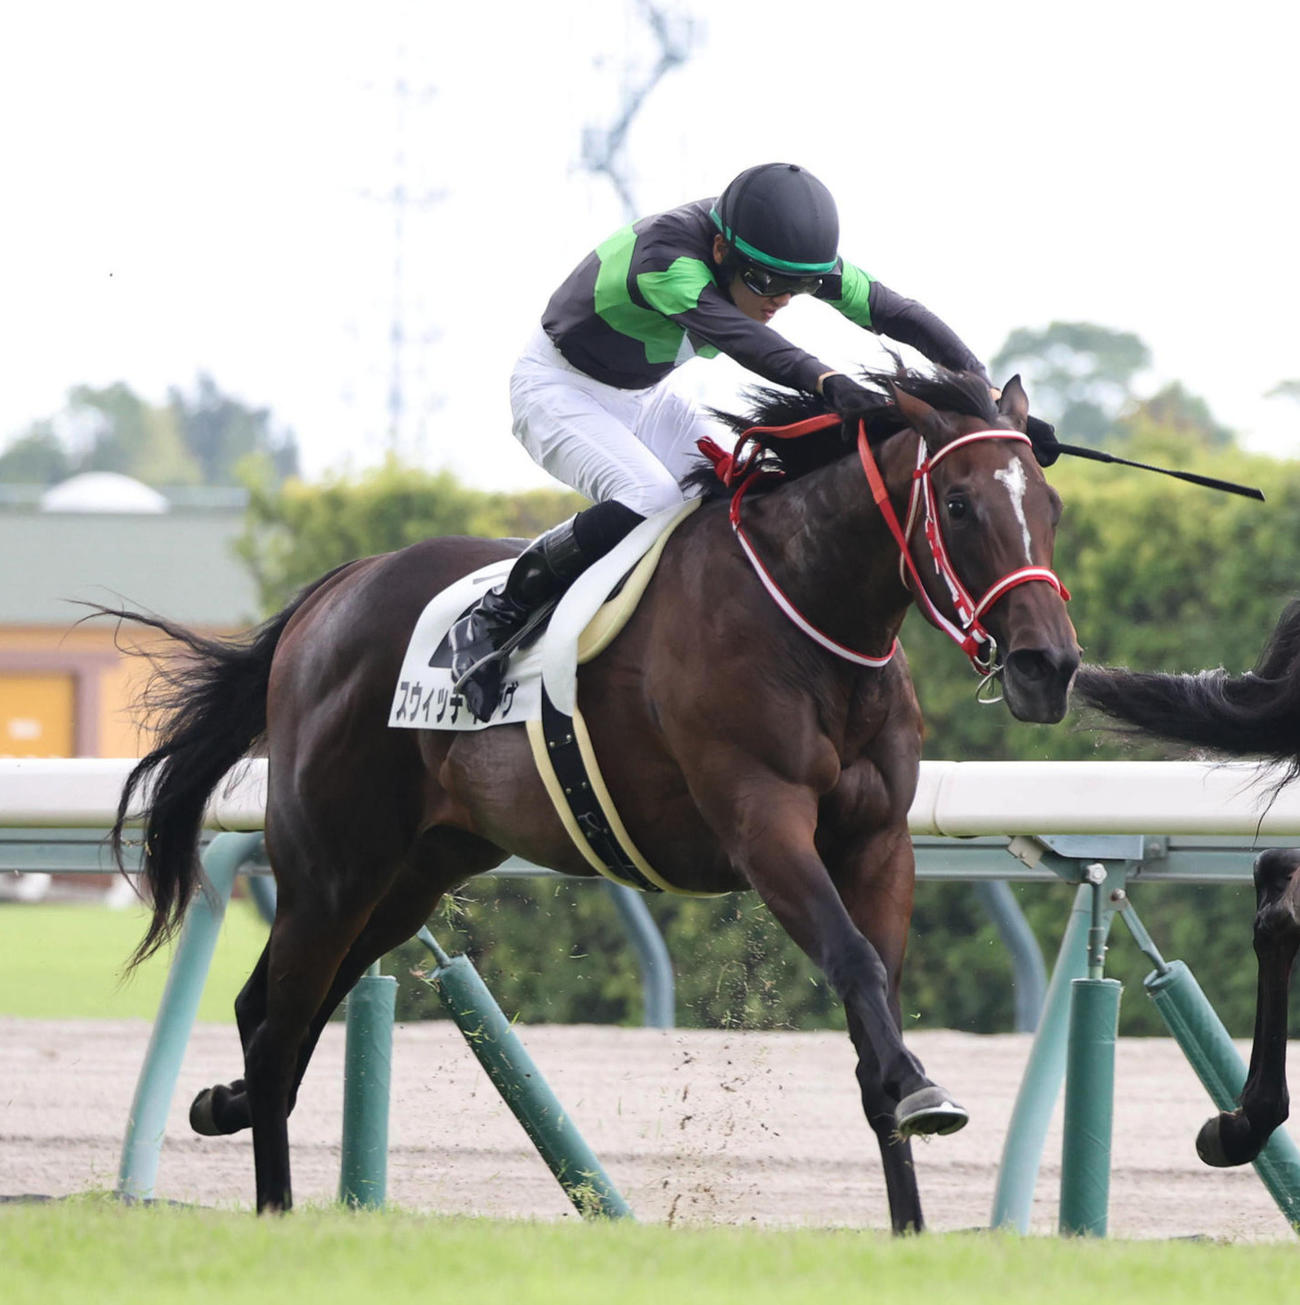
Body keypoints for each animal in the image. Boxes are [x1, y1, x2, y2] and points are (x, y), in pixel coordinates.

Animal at [106, 366, 1079, 1230]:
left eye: (1052, 508)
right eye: (959, 504)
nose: (1049, 665)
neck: (808, 612)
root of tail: (330, 596)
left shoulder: (878, 841)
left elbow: (874, 1021)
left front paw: (910, 1191)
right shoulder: (763, 823)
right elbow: (854, 963)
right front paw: (921, 1088)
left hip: (416, 870)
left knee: (273, 1006)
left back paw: (226, 1104)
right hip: (332, 862)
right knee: (278, 1027)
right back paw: (272, 1201)